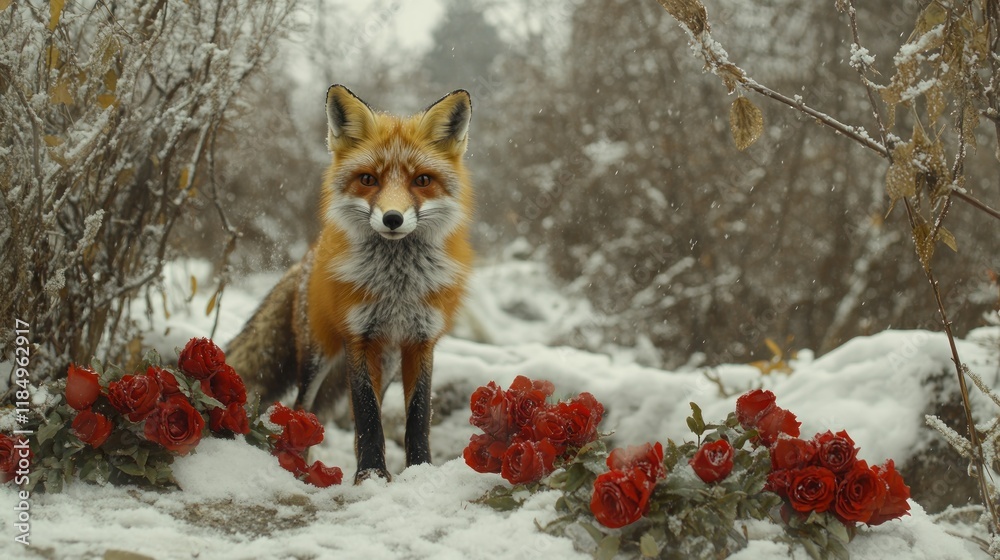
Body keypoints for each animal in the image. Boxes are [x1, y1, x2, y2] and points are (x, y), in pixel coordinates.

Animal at [226, 85, 474, 483]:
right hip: (319, 354)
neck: (396, 286)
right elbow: (368, 415)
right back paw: (299, 466)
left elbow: (417, 417)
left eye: (421, 180)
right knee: (304, 407)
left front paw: (418, 472)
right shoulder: (358, 336)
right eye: (368, 179)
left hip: (385, 363)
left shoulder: (421, 341)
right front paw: (370, 475)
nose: (392, 218)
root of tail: (308, 256)